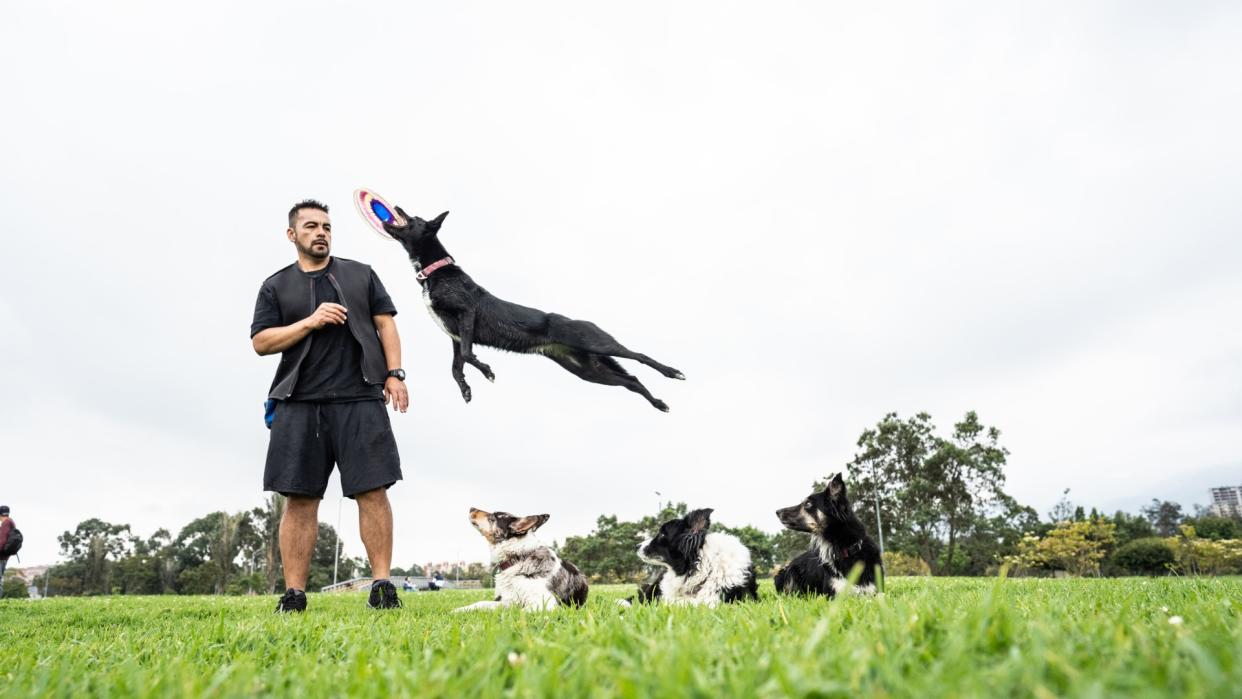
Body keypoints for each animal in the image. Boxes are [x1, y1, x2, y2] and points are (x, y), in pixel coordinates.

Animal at [380, 207, 685, 409]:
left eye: (415, 219)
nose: (397, 207)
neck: (436, 271)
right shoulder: (454, 335)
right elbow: (456, 367)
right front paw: (466, 388)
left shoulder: (466, 316)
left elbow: (467, 355)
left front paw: (487, 371)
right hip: (588, 370)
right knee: (632, 380)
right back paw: (659, 403)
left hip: (596, 342)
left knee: (639, 356)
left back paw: (673, 372)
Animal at [457, 509, 591, 613]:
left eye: (493, 517)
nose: (471, 508)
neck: (518, 559)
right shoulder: (508, 601)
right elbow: (480, 603)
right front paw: (458, 610)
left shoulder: (545, 604)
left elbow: (520, 612)